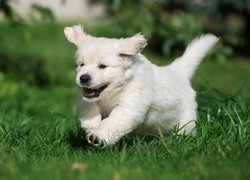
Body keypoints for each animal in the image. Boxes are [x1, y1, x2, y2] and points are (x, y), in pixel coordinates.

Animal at [64, 24, 219, 147]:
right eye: (81, 64)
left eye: (103, 66)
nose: (83, 78)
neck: (115, 90)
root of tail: (177, 72)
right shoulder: (84, 95)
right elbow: (87, 104)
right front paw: (91, 123)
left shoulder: (130, 106)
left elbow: (113, 121)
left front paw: (98, 136)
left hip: (186, 120)